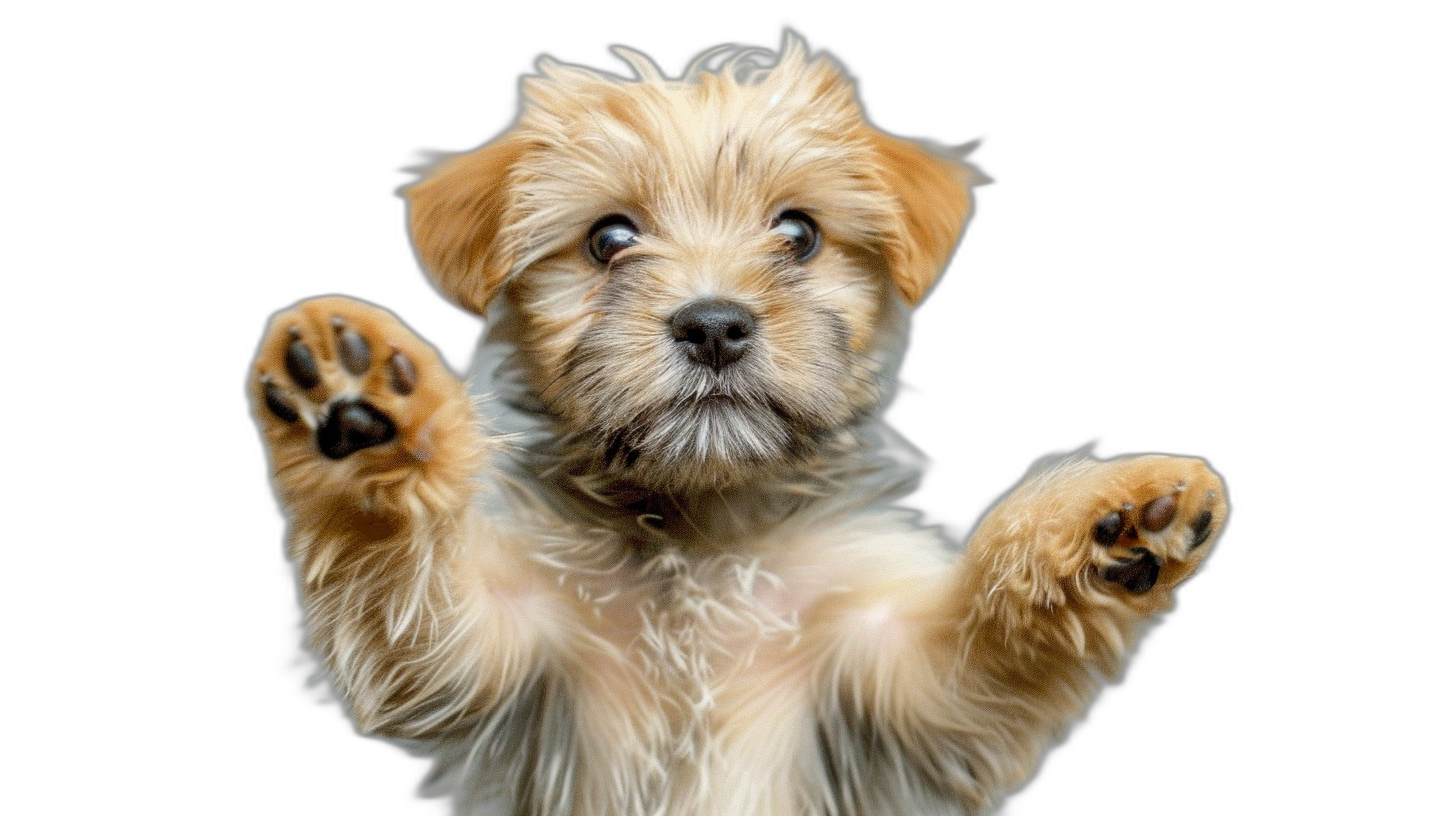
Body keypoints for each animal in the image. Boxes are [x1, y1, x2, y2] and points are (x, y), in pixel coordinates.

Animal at [250, 33, 1228, 816]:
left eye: (798, 234)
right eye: (609, 240)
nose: (713, 325)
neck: (702, 532)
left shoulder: (904, 680)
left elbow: (987, 636)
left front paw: (1108, 519)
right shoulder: (490, 648)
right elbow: (409, 590)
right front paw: (361, 418)